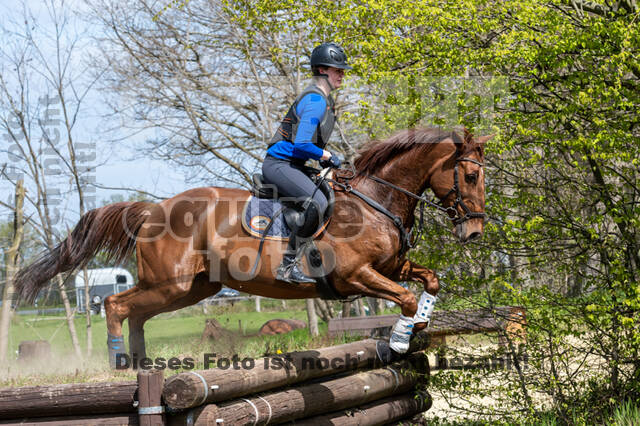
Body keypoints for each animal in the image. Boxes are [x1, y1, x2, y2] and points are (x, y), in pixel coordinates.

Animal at [13, 127, 490, 366]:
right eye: (470, 176)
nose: (474, 233)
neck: (376, 198)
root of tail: (152, 210)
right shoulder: (356, 275)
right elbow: (405, 298)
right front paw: (399, 341)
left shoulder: (390, 269)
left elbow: (429, 281)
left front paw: (420, 325)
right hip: (170, 284)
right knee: (115, 305)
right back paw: (119, 362)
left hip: (190, 289)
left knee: (136, 313)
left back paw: (142, 363)